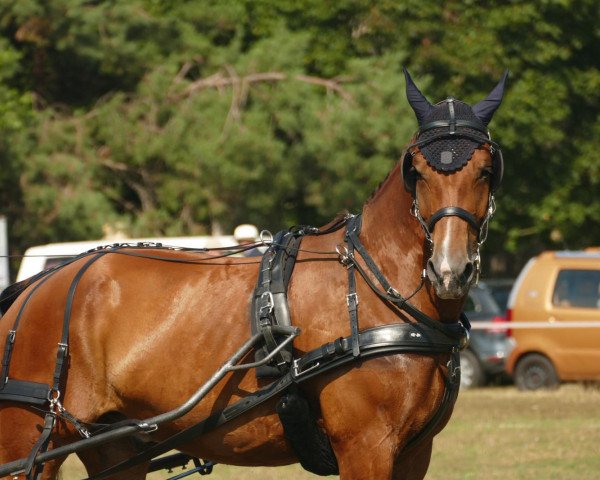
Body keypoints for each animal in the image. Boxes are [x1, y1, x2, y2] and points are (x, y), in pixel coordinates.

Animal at [0, 68, 506, 480]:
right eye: (416, 171)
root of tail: (34, 289)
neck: (373, 287)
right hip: (30, 445)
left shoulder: (414, 454)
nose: (449, 270)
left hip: (117, 449)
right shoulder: (367, 447)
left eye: (486, 170)